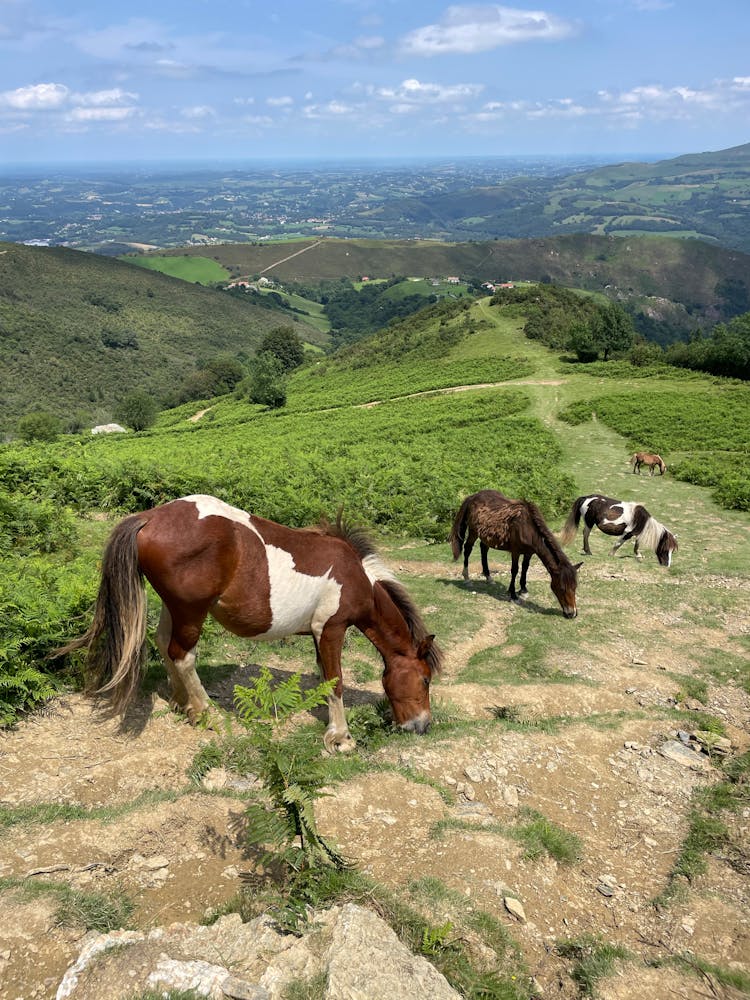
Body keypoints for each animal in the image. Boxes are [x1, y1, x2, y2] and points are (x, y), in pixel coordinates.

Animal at [60, 492, 446, 752]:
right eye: (425, 679)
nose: (422, 726)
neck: (356, 576)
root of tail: (150, 517)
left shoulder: (317, 635)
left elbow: (322, 676)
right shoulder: (331, 629)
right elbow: (334, 681)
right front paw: (340, 738)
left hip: (175, 608)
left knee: (164, 644)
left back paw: (182, 702)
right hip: (191, 611)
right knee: (183, 654)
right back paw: (207, 713)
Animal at [450, 490, 584, 616]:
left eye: (575, 587)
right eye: (562, 588)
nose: (572, 614)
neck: (527, 528)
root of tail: (473, 497)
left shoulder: (529, 552)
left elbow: (525, 568)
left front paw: (523, 590)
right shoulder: (515, 552)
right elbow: (514, 570)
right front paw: (513, 594)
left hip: (486, 536)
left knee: (484, 549)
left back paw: (488, 577)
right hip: (473, 532)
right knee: (468, 549)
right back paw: (467, 578)